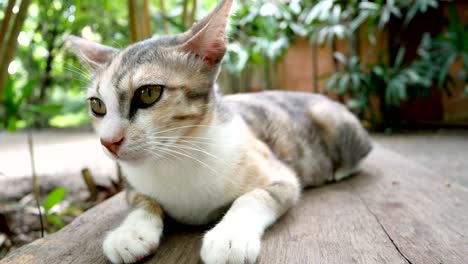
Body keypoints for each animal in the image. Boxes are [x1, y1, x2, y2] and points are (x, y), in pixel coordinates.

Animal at [66, 0, 372, 262]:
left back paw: (338, 170)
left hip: (329, 119)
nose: (108, 141)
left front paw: (229, 238)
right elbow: (141, 201)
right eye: (97, 105)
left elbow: (254, 196)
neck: (177, 158)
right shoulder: (134, 185)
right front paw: (130, 232)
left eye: (149, 93)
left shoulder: (280, 175)